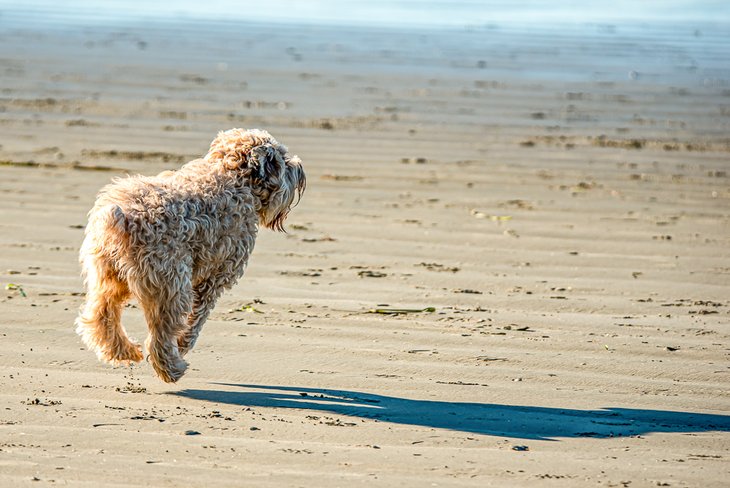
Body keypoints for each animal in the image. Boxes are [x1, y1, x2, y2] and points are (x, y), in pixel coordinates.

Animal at [78, 129, 306, 382]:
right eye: (282, 160)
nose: (300, 169)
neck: (234, 175)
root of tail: (121, 218)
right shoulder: (216, 276)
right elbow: (197, 318)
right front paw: (184, 343)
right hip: (171, 283)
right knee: (160, 335)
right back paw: (172, 368)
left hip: (109, 276)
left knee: (101, 315)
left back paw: (124, 351)